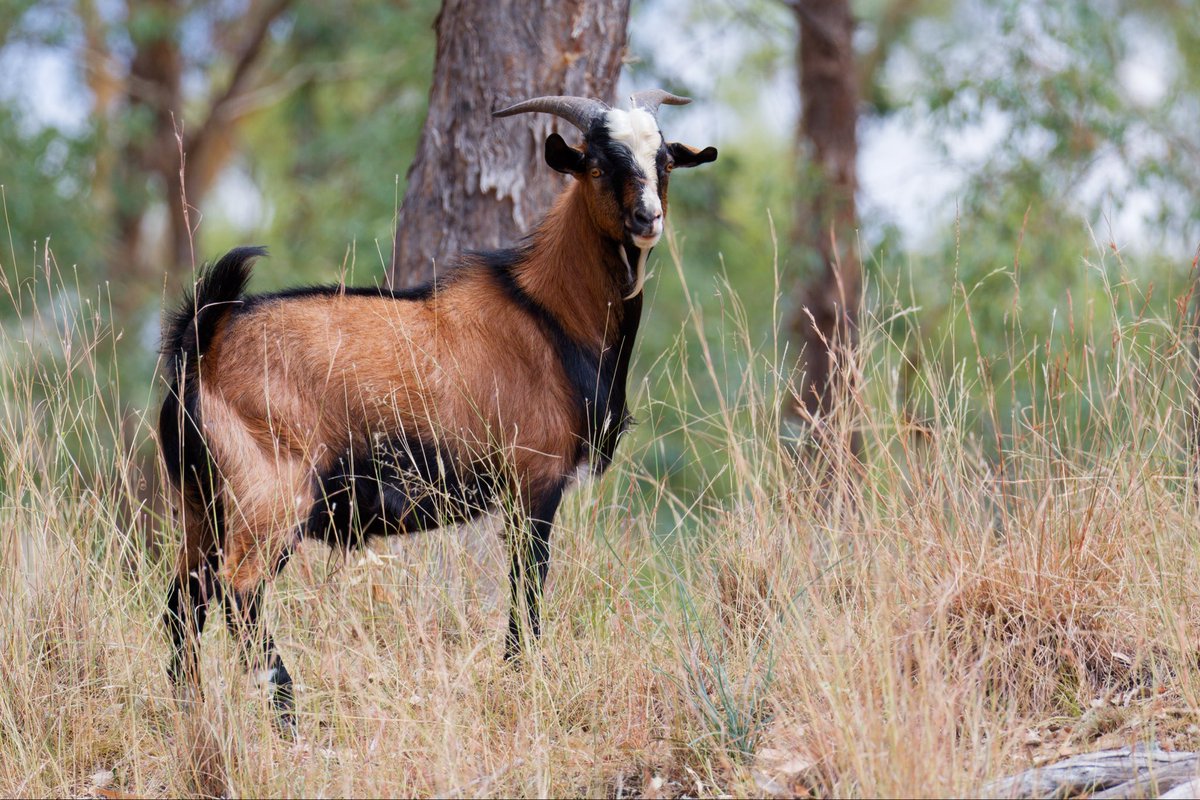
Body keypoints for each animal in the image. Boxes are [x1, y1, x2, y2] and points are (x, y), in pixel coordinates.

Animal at [159, 90, 717, 727]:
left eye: (664, 162)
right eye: (598, 166)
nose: (648, 219)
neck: (550, 313)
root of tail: (204, 341)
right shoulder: (534, 479)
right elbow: (527, 587)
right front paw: (520, 682)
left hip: (201, 504)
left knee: (185, 599)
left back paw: (186, 713)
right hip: (270, 493)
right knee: (238, 589)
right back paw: (287, 715)